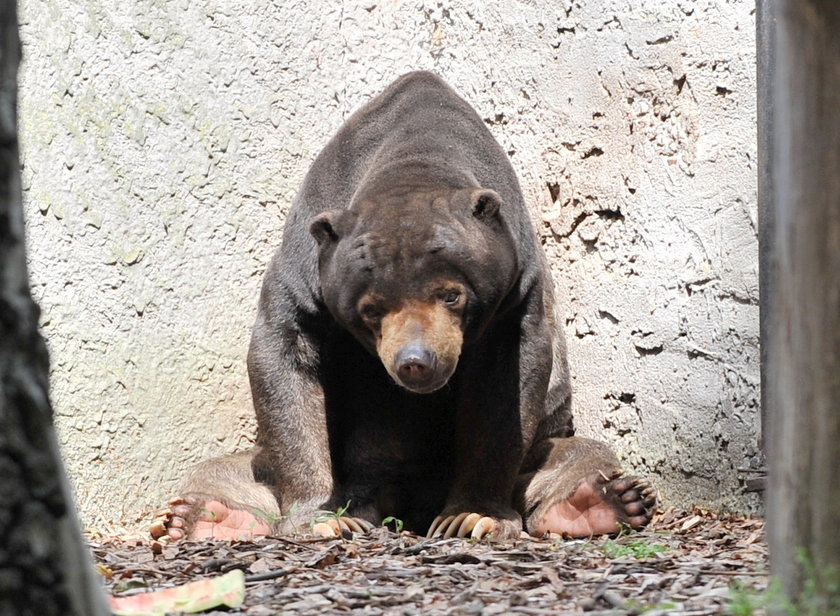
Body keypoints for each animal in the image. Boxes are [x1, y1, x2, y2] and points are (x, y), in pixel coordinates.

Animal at [151, 72, 656, 540]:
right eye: (371, 309)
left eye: (452, 294)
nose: (416, 362)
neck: (413, 162)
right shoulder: (304, 269)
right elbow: (284, 362)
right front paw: (325, 520)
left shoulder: (516, 289)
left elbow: (507, 389)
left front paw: (473, 518)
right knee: (222, 470)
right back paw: (203, 517)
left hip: (549, 434)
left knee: (581, 454)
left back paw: (600, 501)